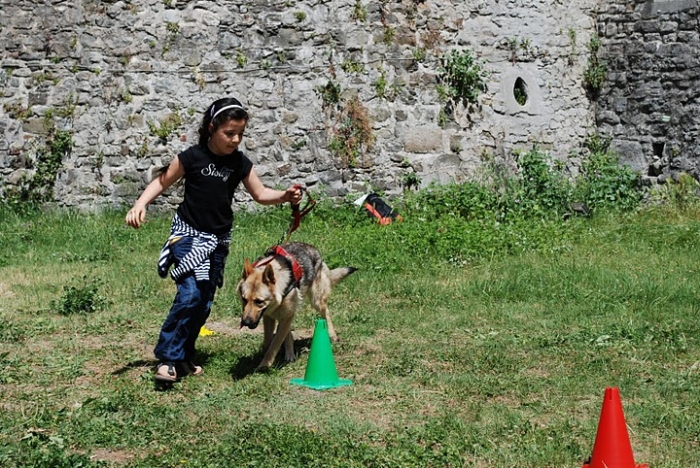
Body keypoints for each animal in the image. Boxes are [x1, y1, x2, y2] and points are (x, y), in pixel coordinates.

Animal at [238, 243, 358, 372]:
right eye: (244, 299)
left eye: (259, 301)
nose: (245, 322)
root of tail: (311, 247)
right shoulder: (269, 316)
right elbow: (268, 340)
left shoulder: (286, 316)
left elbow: (275, 343)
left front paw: (264, 364)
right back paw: (290, 354)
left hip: (316, 302)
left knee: (326, 313)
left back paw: (332, 335)